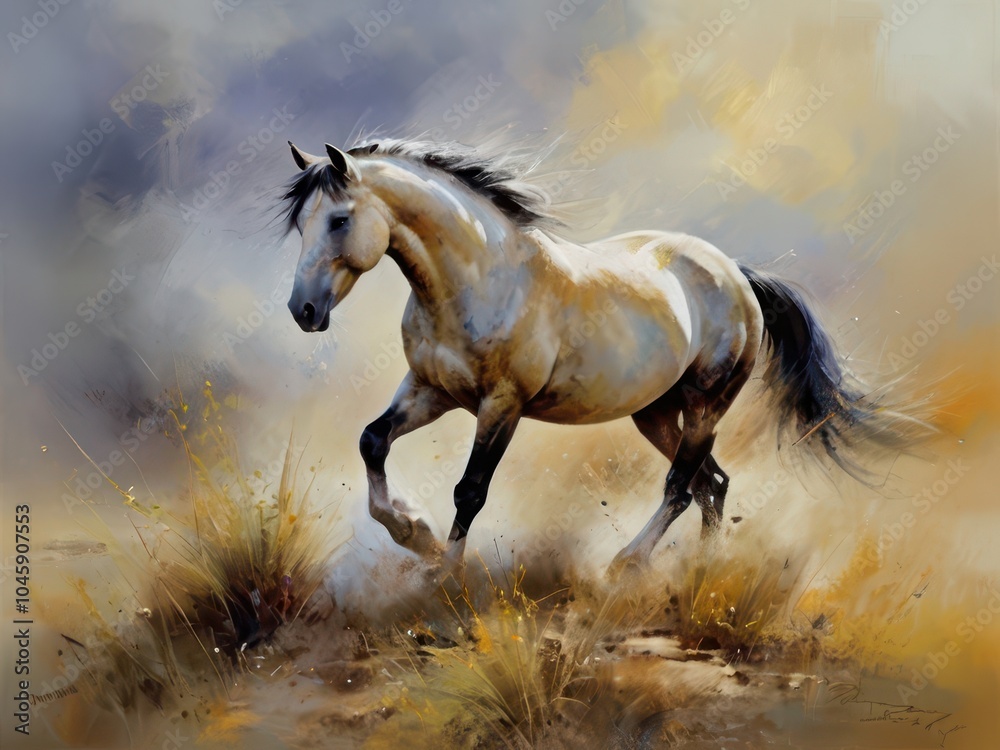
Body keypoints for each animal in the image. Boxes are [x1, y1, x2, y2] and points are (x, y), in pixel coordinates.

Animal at [279, 138, 893, 574]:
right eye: (302, 223)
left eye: (338, 220)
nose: (302, 310)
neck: (480, 281)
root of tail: (736, 274)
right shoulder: (430, 390)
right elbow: (372, 441)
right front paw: (415, 534)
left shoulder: (501, 405)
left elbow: (470, 490)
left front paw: (440, 574)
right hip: (655, 413)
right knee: (711, 485)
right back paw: (702, 571)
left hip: (705, 405)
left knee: (681, 487)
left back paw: (628, 563)